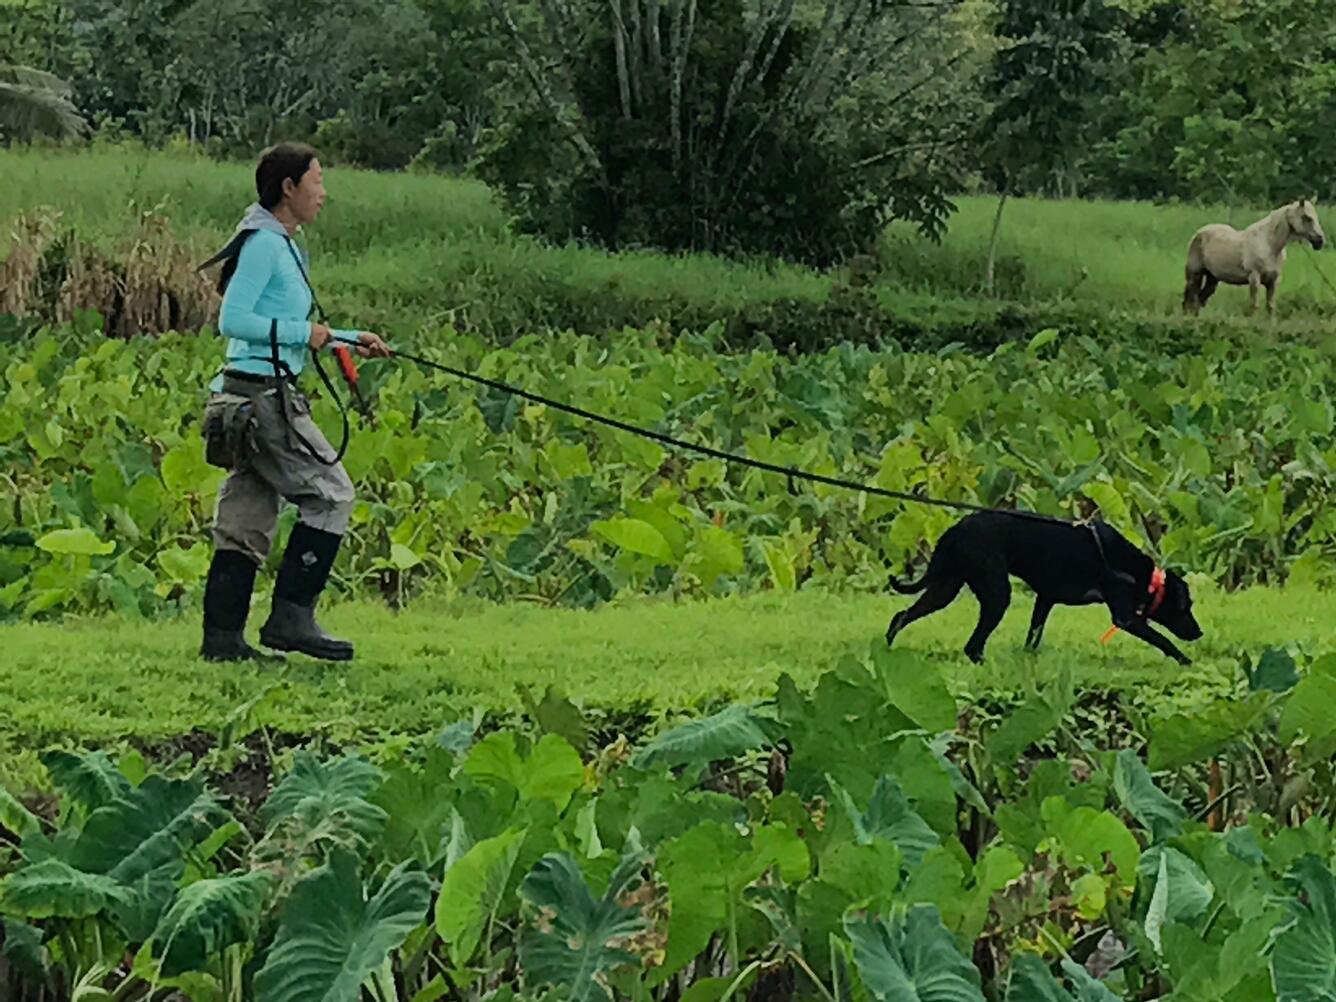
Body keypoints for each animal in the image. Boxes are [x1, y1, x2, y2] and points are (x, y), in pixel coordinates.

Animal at [887, 510, 1202, 668]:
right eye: (1186, 607)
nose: (1199, 633)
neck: (1139, 574)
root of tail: (954, 531)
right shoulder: (1124, 618)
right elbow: (1162, 638)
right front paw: (1184, 660)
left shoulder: (1045, 599)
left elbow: (1033, 635)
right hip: (996, 593)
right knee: (972, 645)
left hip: (945, 586)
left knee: (901, 615)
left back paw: (888, 648)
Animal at [1181, 199, 1325, 315]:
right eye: (1307, 217)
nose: (1320, 241)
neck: (1269, 244)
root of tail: (1198, 233)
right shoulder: (1254, 278)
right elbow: (1255, 306)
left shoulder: (1273, 281)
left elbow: (1271, 307)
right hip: (1195, 275)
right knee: (1191, 301)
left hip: (1213, 279)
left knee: (1199, 301)